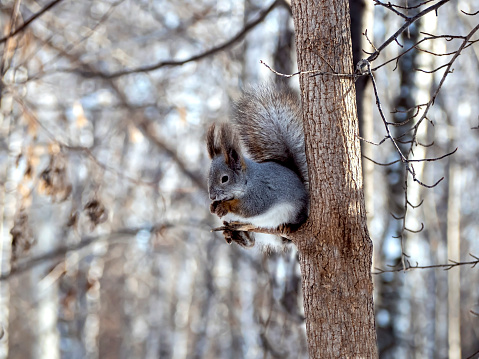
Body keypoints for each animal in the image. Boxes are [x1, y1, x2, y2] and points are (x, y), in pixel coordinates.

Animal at [206, 84, 308, 250]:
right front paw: (213, 206)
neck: (248, 181)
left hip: (295, 213)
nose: (212, 196)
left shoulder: (261, 192)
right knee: (252, 241)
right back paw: (239, 236)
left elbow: (250, 208)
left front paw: (224, 207)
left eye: (225, 178)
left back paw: (288, 226)